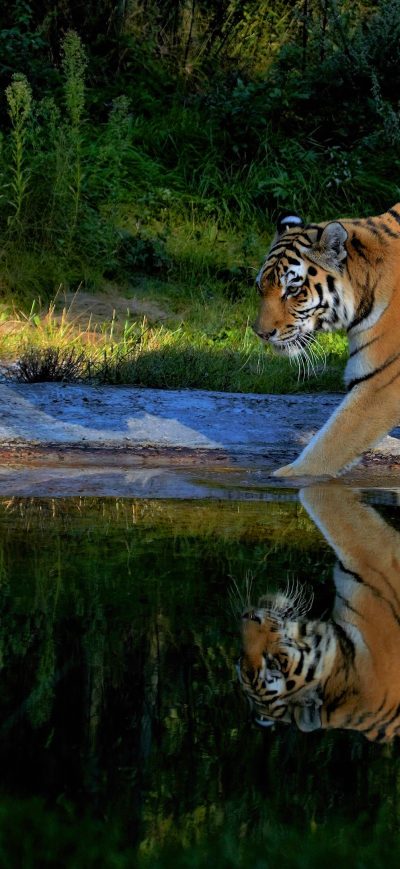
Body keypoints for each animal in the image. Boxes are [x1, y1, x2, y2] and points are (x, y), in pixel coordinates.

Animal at [254, 205, 400, 478]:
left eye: (293, 290)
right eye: (260, 288)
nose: (262, 333)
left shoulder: (381, 381)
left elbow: (331, 442)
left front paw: (284, 477)